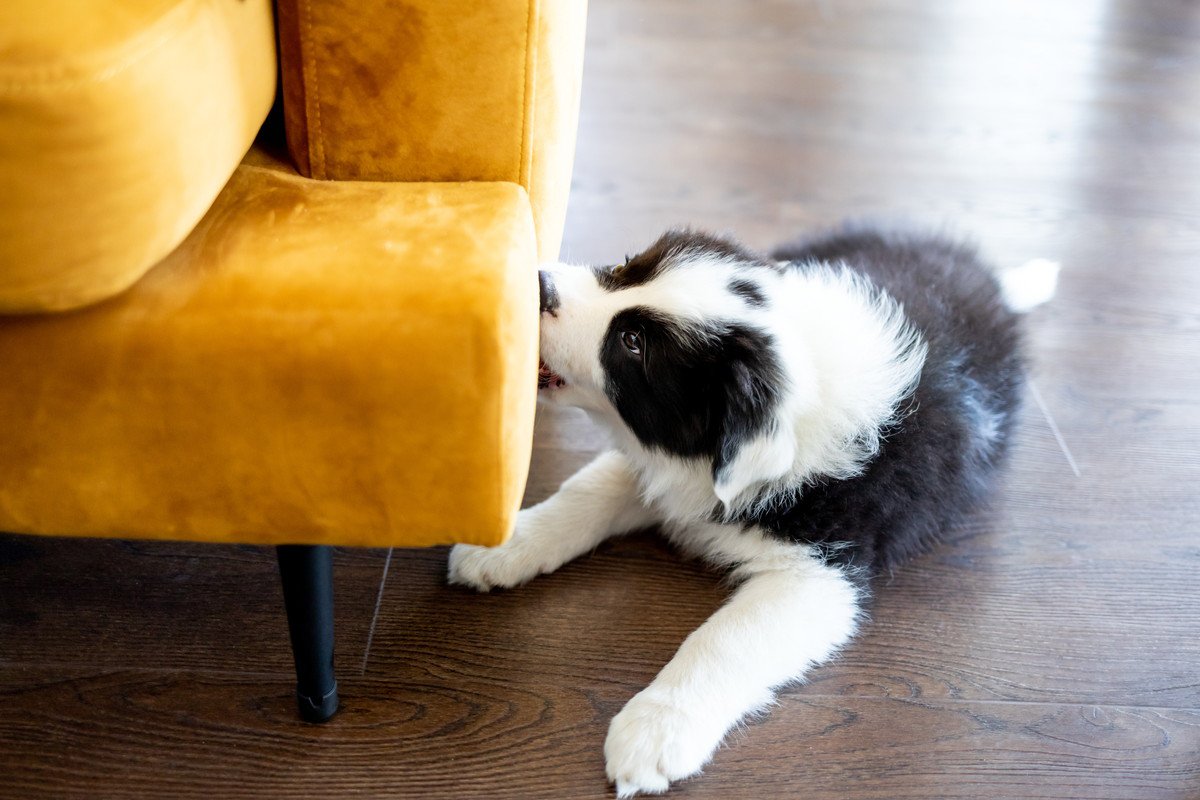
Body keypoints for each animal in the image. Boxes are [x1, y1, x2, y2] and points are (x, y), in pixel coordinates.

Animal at [448, 224, 1060, 796]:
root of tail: (983, 276)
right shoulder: (668, 472)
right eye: (626, 267)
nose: (537, 282)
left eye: (632, 342)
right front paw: (500, 546)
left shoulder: (819, 571)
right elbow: (587, 492)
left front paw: (656, 732)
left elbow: (725, 639)